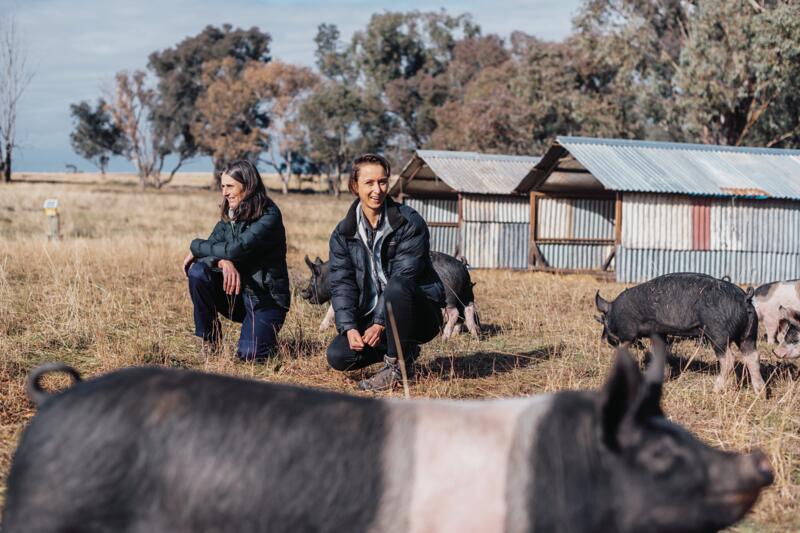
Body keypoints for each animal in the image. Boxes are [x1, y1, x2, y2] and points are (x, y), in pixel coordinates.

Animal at [592, 272, 764, 392]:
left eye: (604, 320)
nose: (604, 339)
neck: (615, 311)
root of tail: (745, 297)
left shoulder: (627, 332)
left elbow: (624, 348)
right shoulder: (658, 333)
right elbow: (659, 353)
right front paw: (663, 378)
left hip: (718, 333)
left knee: (729, 359)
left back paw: (715, 390)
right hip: (749, 335)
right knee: (753, 357)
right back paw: (760, 394)